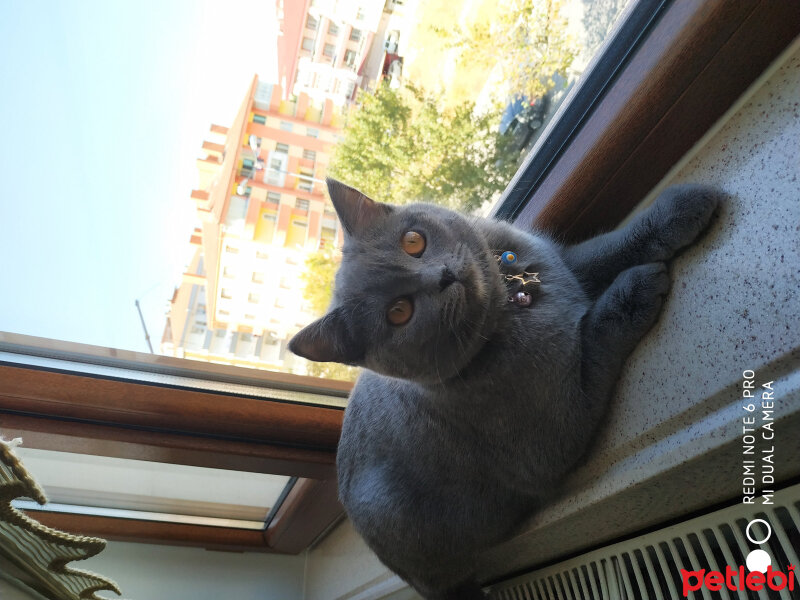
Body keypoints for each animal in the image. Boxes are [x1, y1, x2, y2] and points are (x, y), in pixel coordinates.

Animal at [290, 178, 720, 600]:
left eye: (413, 241)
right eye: (399, 312)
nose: (442, 276)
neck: (510, 303)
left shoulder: (559, 262)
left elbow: (604, 248)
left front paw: (682, 208)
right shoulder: (557, 430)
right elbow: (595, 331)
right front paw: (635, 287)